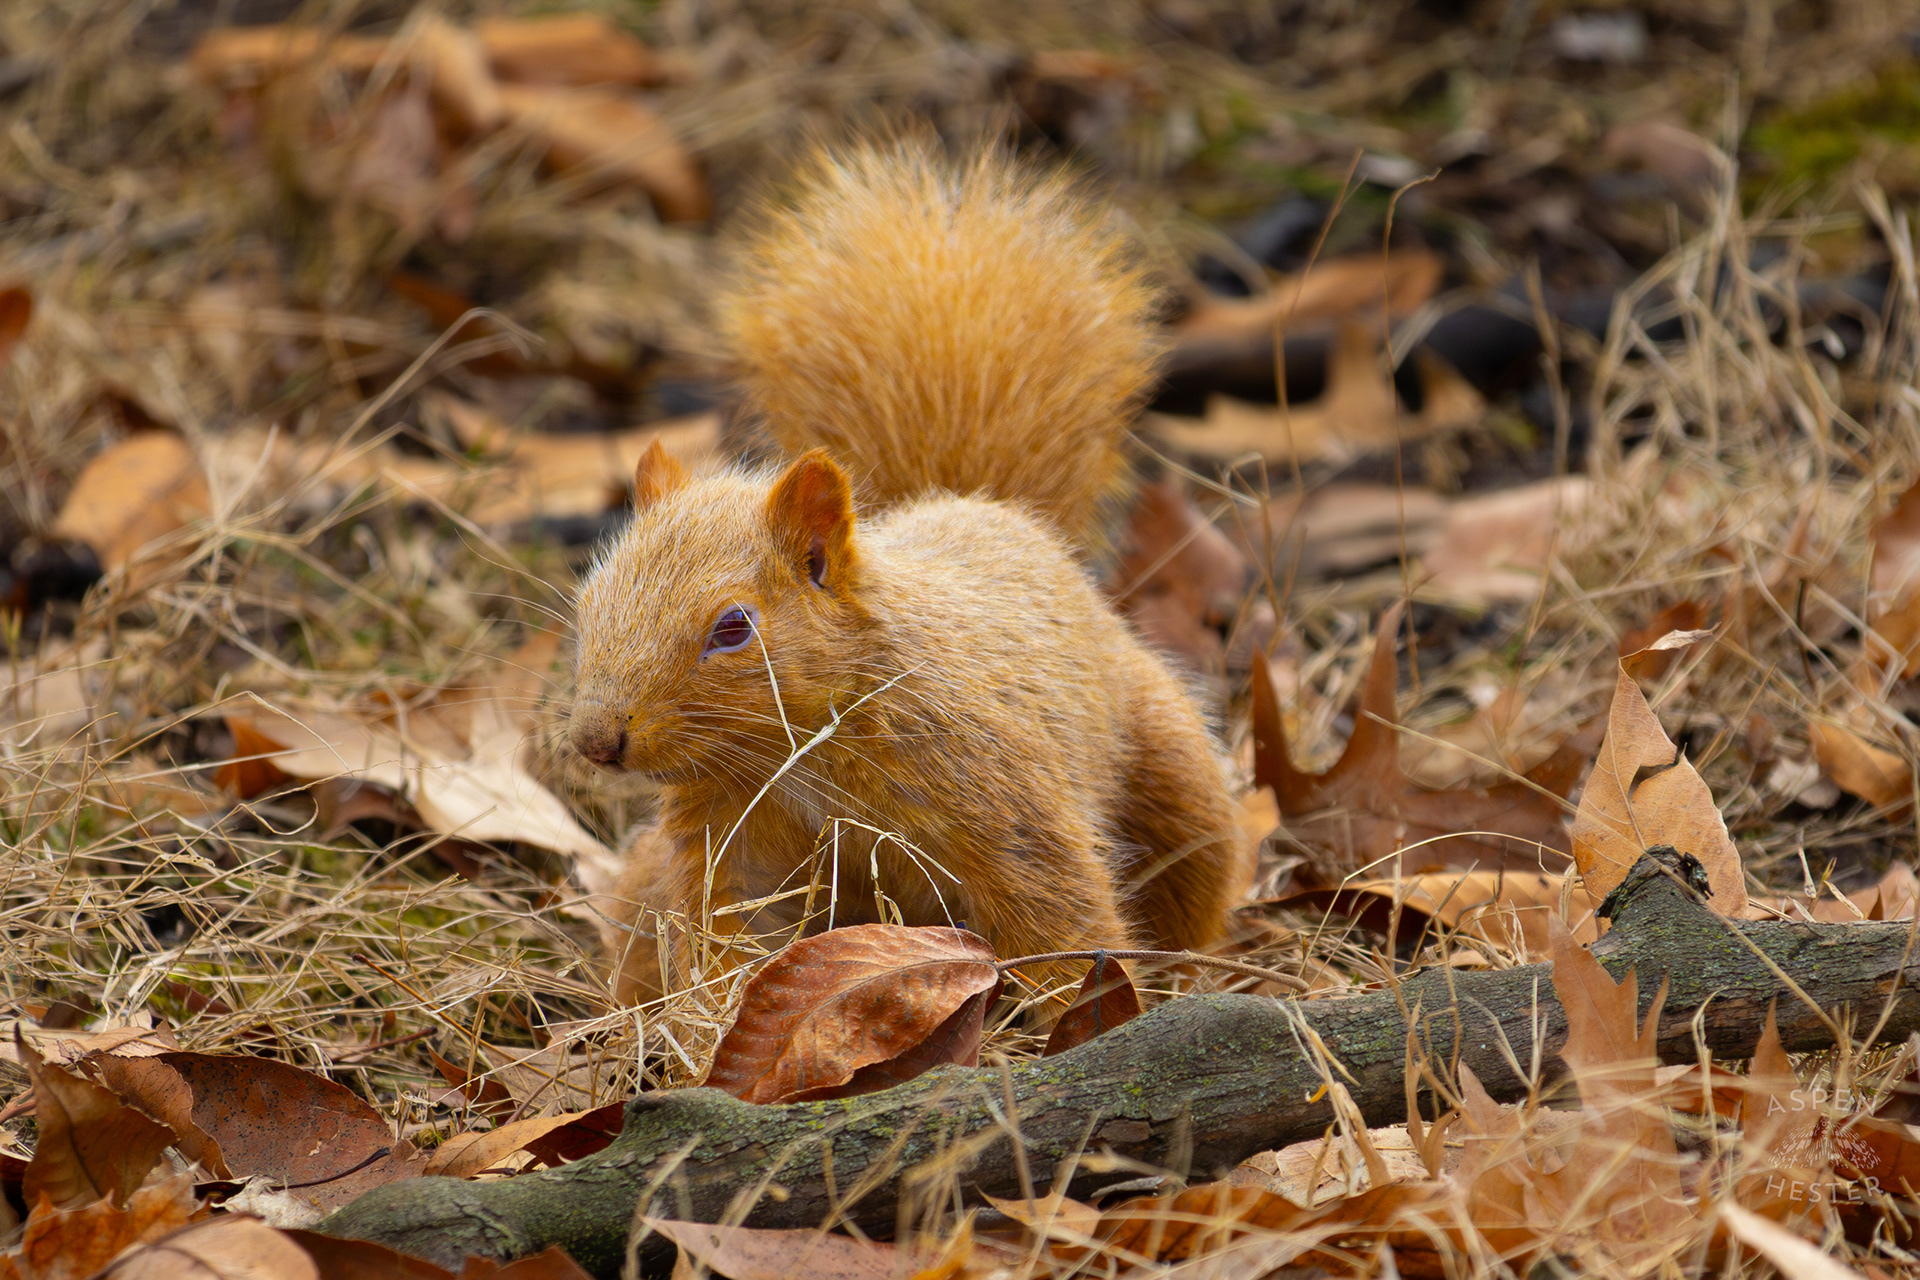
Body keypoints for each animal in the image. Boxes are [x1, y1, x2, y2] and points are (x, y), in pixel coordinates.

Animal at [568, 139, 1249, 1005]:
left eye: (733, 627)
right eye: (589, 604)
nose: (596, 740)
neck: (801, 752)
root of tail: (978, 505)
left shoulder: (1002, 803)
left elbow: (1061, 918)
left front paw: (1079, 1014)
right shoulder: (729, 839)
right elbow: (718, 930)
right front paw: (710, 1011)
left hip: (1179, 780)